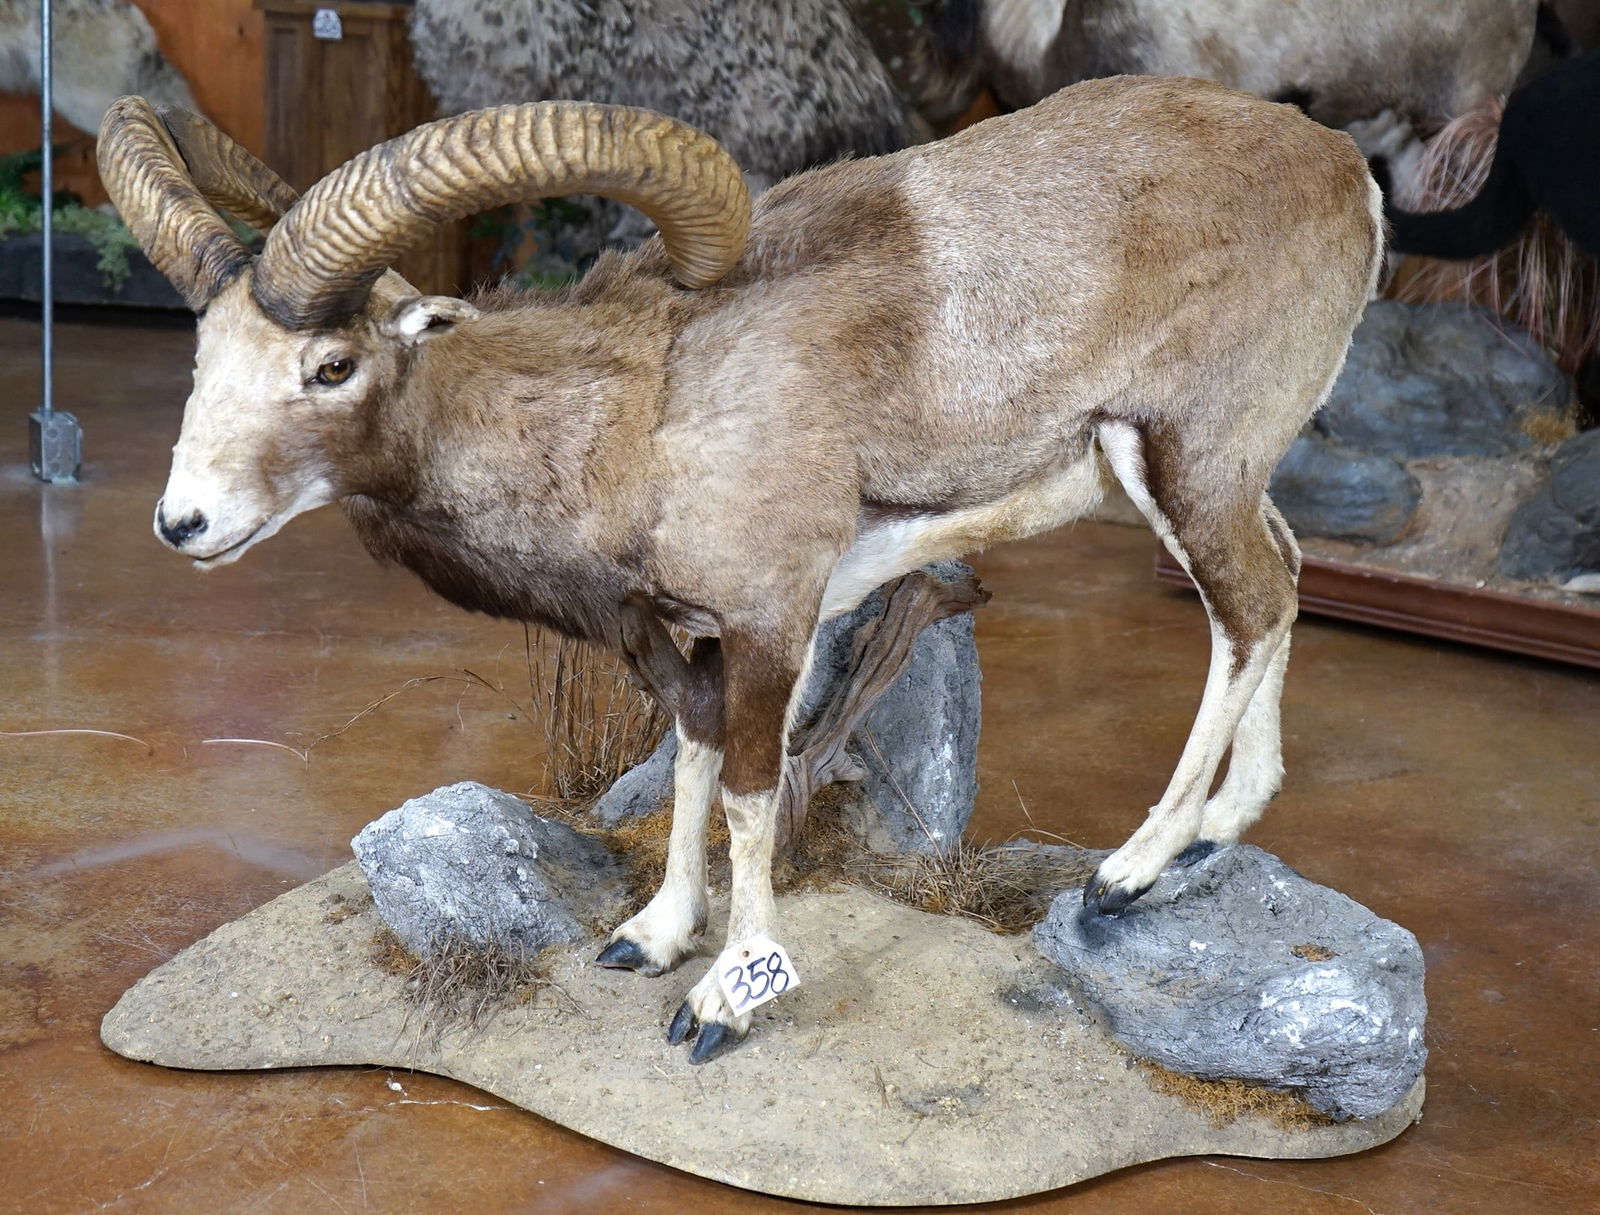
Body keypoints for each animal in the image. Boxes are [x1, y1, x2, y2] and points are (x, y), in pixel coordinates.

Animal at [97, 80, 1382, 1062]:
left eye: (329, 365)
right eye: (204, 355)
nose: (185, 523)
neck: (645, 407)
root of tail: (1344, 173)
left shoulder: (776, 619)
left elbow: (756, 792)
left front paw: (724, 997)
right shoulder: (688, 636)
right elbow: (693, 758)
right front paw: (653, 936)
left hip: (1188, 462)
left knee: (1247, 610)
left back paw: (1131, 872)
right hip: (1192, 482)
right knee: (1284, 576)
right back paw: (1217, 834)